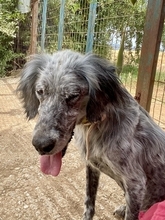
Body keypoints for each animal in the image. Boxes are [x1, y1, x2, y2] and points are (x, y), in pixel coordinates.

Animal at [17, 49, 165, 220]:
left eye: (72, 96)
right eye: (40, 92)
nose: (41, 145)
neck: (94, 126)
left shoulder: (136, 184)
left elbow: (131, 214)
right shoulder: (92, 166)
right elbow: (89, 204)